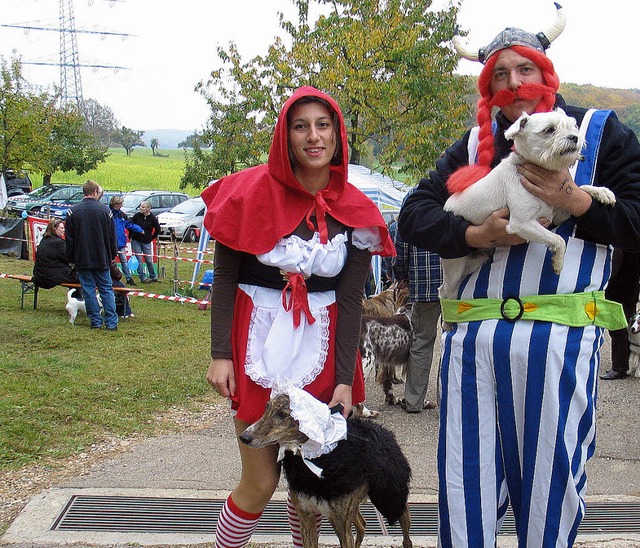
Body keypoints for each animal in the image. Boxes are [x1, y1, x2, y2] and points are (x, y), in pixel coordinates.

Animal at [440, 109, 616, 302]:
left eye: (573, 126)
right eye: (549, 130)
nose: (574, 137)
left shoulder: (559, 212)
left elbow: (580, 190)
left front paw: (602, 192)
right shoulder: (522, 223)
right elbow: (559, 239)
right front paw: (558, 261)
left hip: (476, 260)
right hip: (455, 265)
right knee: (444, 291)